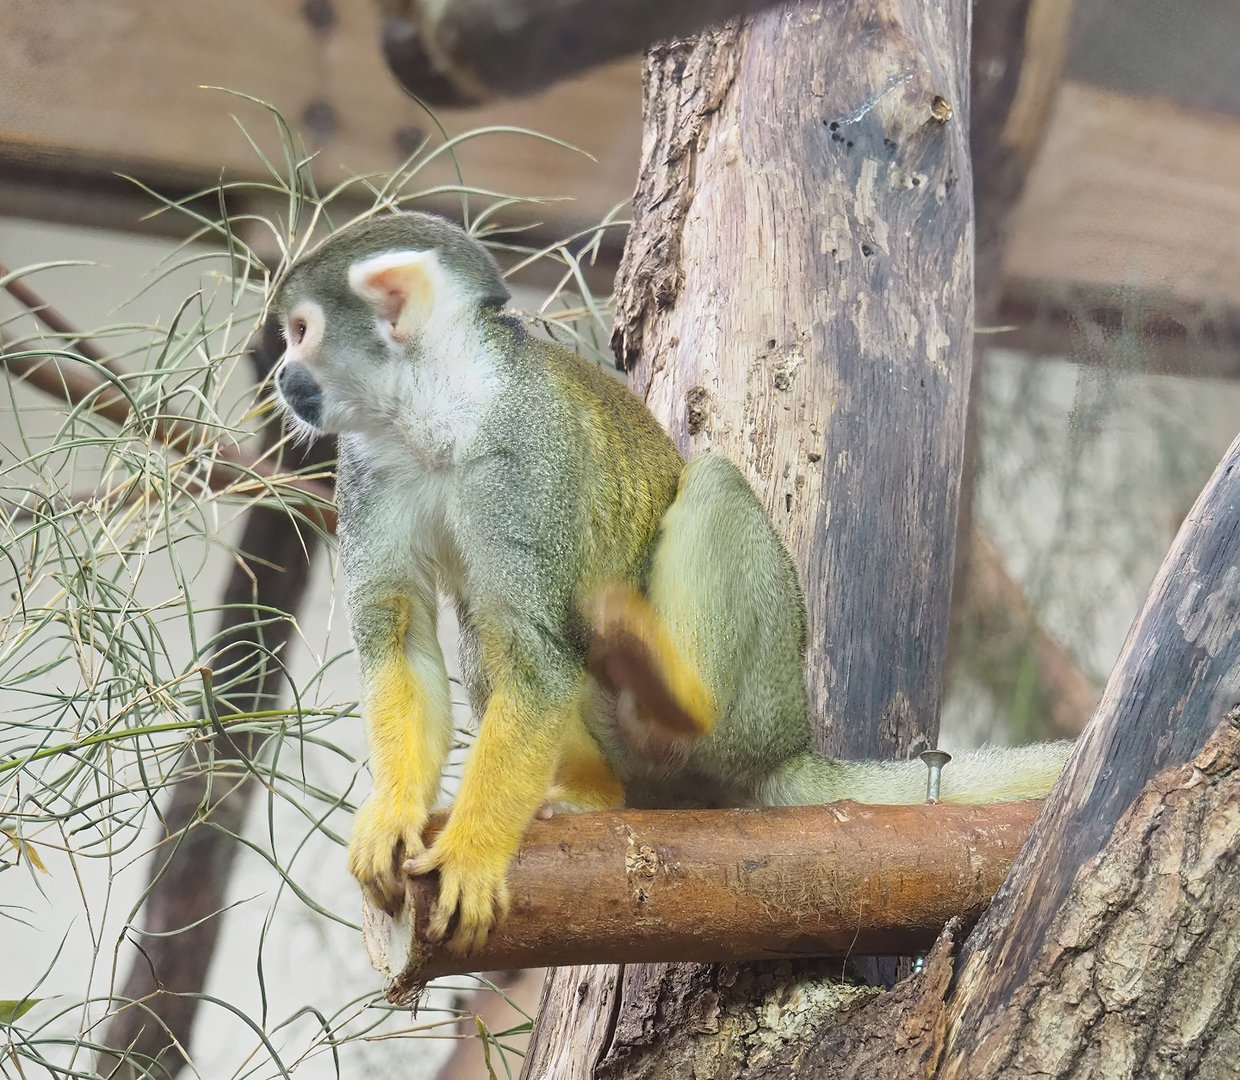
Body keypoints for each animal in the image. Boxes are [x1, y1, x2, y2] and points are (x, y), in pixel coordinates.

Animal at [271, 211, 1073, 955]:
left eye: (301, 331)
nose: (280, 375)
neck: (441, 410)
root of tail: (791, 747)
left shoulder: (524, 457)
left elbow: (535, 656)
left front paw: (472, 851)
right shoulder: (370, 463)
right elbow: (402, 630)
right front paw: (393, 815)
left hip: (765, 700)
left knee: (712, 488)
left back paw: (679, 700)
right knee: (487, 630)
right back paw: (597, 790)